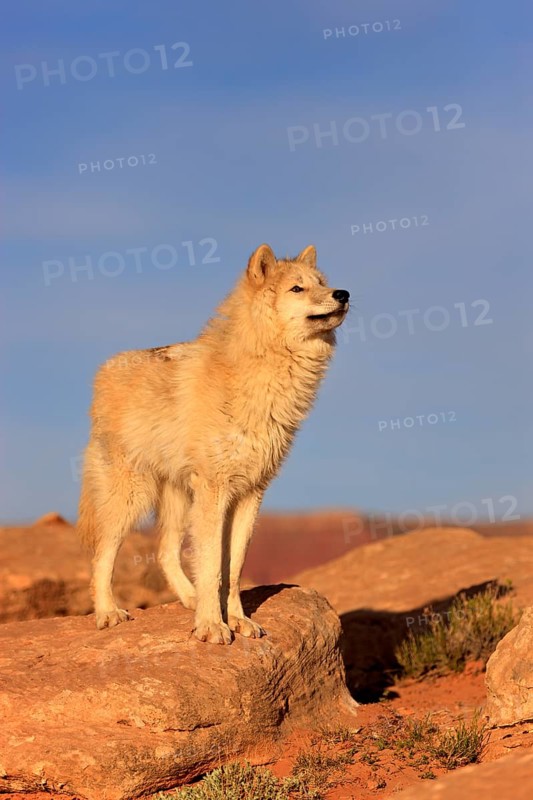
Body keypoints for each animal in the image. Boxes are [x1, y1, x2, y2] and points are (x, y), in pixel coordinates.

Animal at [77, 244, 349, 643]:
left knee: (164, 551)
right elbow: (211, 568)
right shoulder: (215, 489)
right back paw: (108, 613)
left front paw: (237, 620)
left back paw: (188, 599)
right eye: (297, 289)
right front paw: (210, 626)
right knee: (101, 554)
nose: (343, 294)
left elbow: (232, 569)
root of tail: (103, 372)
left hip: (178, 502)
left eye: (322, 283)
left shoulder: (250, 493)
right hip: (131, 497)